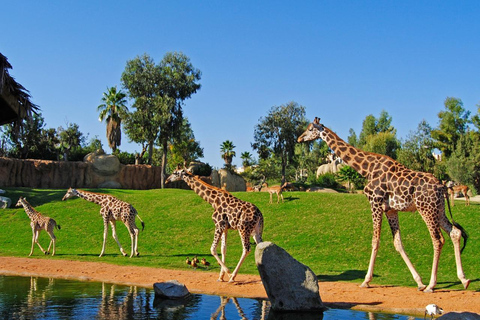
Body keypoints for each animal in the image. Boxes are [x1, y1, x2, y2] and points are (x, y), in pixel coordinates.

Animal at [296, 117, 468, 292]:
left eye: (310, 129)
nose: (299, 138)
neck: (367, 169)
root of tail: (442, 187)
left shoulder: (375, 202)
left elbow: (375, 240)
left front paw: (366, 281)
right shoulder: (390, 210)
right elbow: (398, 243)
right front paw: (419, 282)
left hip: (426, 209)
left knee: (437, 240)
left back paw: (432, 285)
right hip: (438, 209)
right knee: (455, 232)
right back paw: (463, 279)